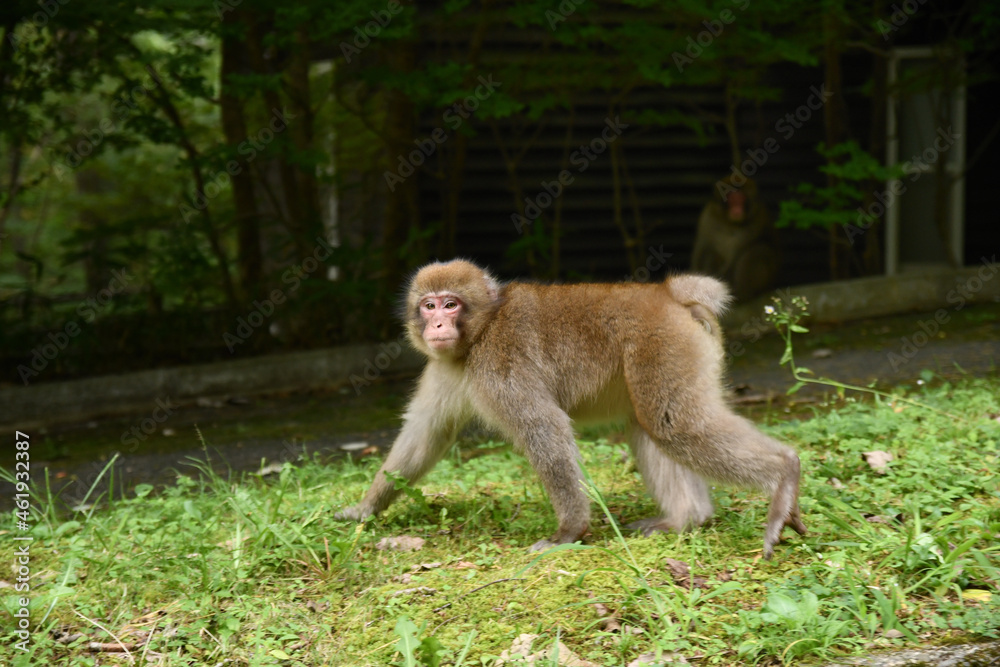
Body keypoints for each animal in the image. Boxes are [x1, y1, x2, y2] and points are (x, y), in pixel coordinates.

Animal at [335, 260, 806, 559]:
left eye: (451, 304)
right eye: (428, 304)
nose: (436, 324)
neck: (482, 330)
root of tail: (668, 292)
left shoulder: (500, 364)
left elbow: (544, 426)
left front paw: (570, 532)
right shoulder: (446, 367)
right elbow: (425, 434)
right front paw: (364, 510)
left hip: (663, 343)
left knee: (673, 425)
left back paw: (784, 474)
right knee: (647, 424)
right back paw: (686, 520)